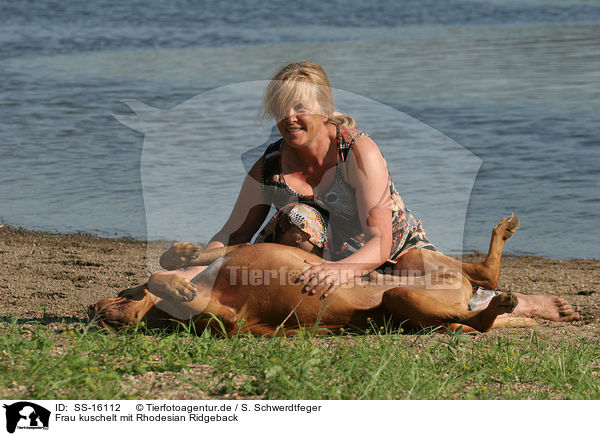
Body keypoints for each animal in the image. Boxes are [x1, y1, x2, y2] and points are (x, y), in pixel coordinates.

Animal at [85, 215, 540, 334]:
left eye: (118, 299)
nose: (94, 309)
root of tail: (463, 290)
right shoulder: (230, 320)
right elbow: (162, 281)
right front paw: (174, 283)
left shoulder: (239, 250)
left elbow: (168, 263)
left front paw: (181, 255)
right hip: (403, 296)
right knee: (478, 317)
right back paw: (498, 303)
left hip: (423, 265)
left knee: (483, 273)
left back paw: (505, 231)